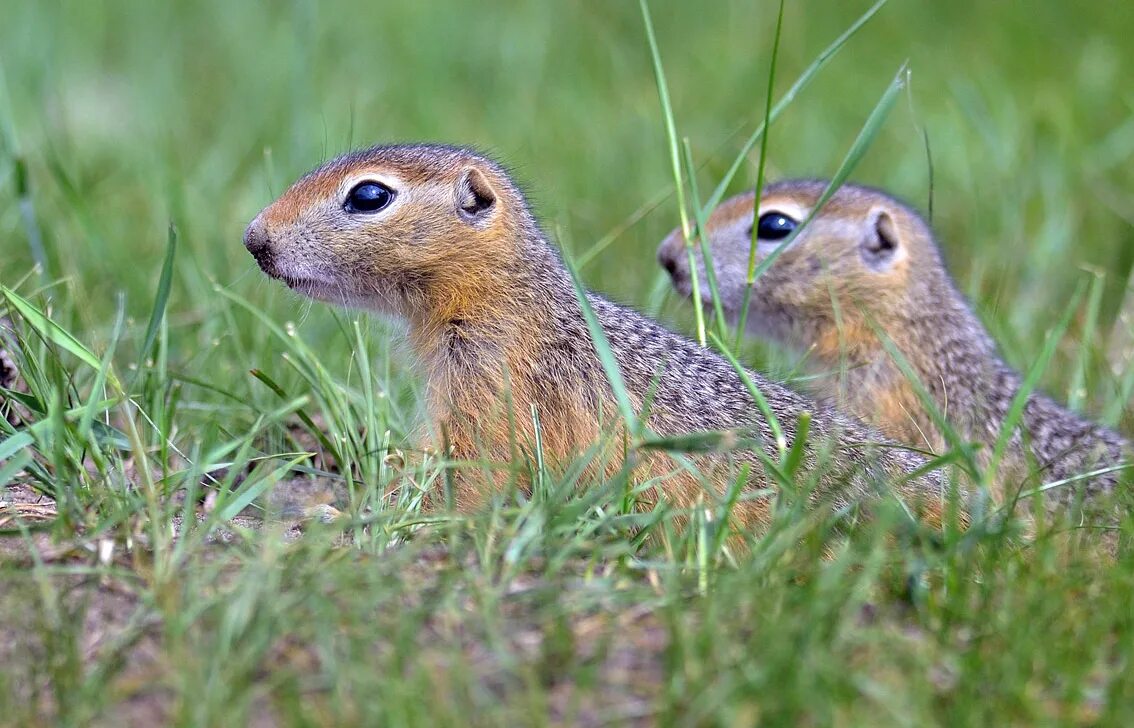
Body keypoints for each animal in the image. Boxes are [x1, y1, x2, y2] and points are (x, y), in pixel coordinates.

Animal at [243, 144, 952, 526]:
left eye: (368, 195)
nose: (254, 239)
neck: (517, 301)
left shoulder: (488, 387)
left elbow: (466, 473)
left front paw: (358, 512)